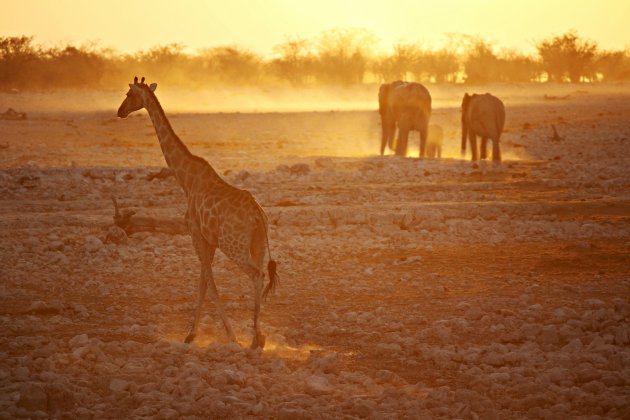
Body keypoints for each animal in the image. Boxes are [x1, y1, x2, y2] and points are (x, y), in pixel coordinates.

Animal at [116, 77, 278, 350]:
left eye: (129, 94)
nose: (120, 112)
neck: (186, 179)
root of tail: (258, 216)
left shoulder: (196, 234)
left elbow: (208, 282)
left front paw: (227, 335)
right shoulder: (208, 240)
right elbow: (204, 281)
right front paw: (192, 334)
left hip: (233, 245)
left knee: (256, 275)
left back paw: (256, 338)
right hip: (257, 245)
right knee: (260, 274)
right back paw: (261, 335)